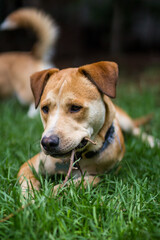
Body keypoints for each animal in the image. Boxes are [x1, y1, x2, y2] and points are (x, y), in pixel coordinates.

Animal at [17, 61, 159, 193]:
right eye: (45, 109)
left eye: (75, 107)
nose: (47, 142)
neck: (78, 157)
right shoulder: (30, 164)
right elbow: (27, 182)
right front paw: (30, 199)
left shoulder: (101, 177)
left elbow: (71, 185)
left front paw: (47, 195)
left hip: (124, 120)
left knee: (136, 129)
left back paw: (153, 142)